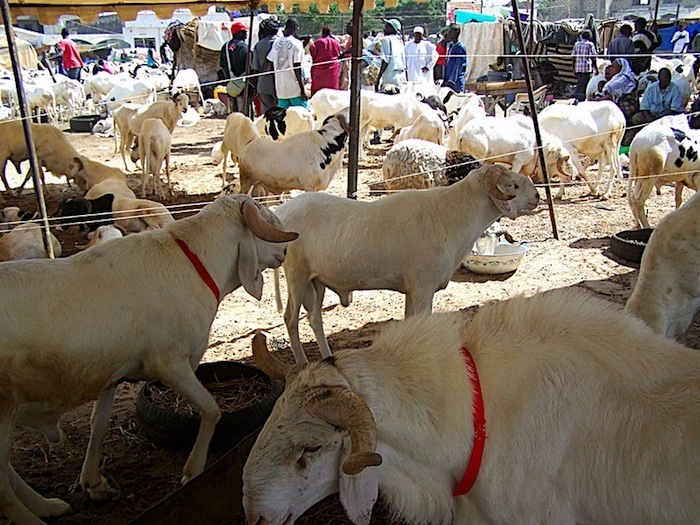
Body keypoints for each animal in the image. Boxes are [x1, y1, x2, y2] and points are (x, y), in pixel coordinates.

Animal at [0, 194, 298, 525]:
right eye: (267, 218)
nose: (286, 251)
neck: (197, 262)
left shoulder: (113, 369)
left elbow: (99, 422)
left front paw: (93, 483)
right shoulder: (170, 364)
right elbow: (212, 410)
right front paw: (193, 471)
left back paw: (47, 505)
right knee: (2, 485)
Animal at [274, 164, 539, 363]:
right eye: (514, 185)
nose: (537, 196)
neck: (451, 217)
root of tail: (280, 213)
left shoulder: (412, 290)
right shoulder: (423, 289)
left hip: (316, 280)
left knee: (314, 319)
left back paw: (327, 357)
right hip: (296, 274)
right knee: (290, 318)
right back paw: (301, 362)